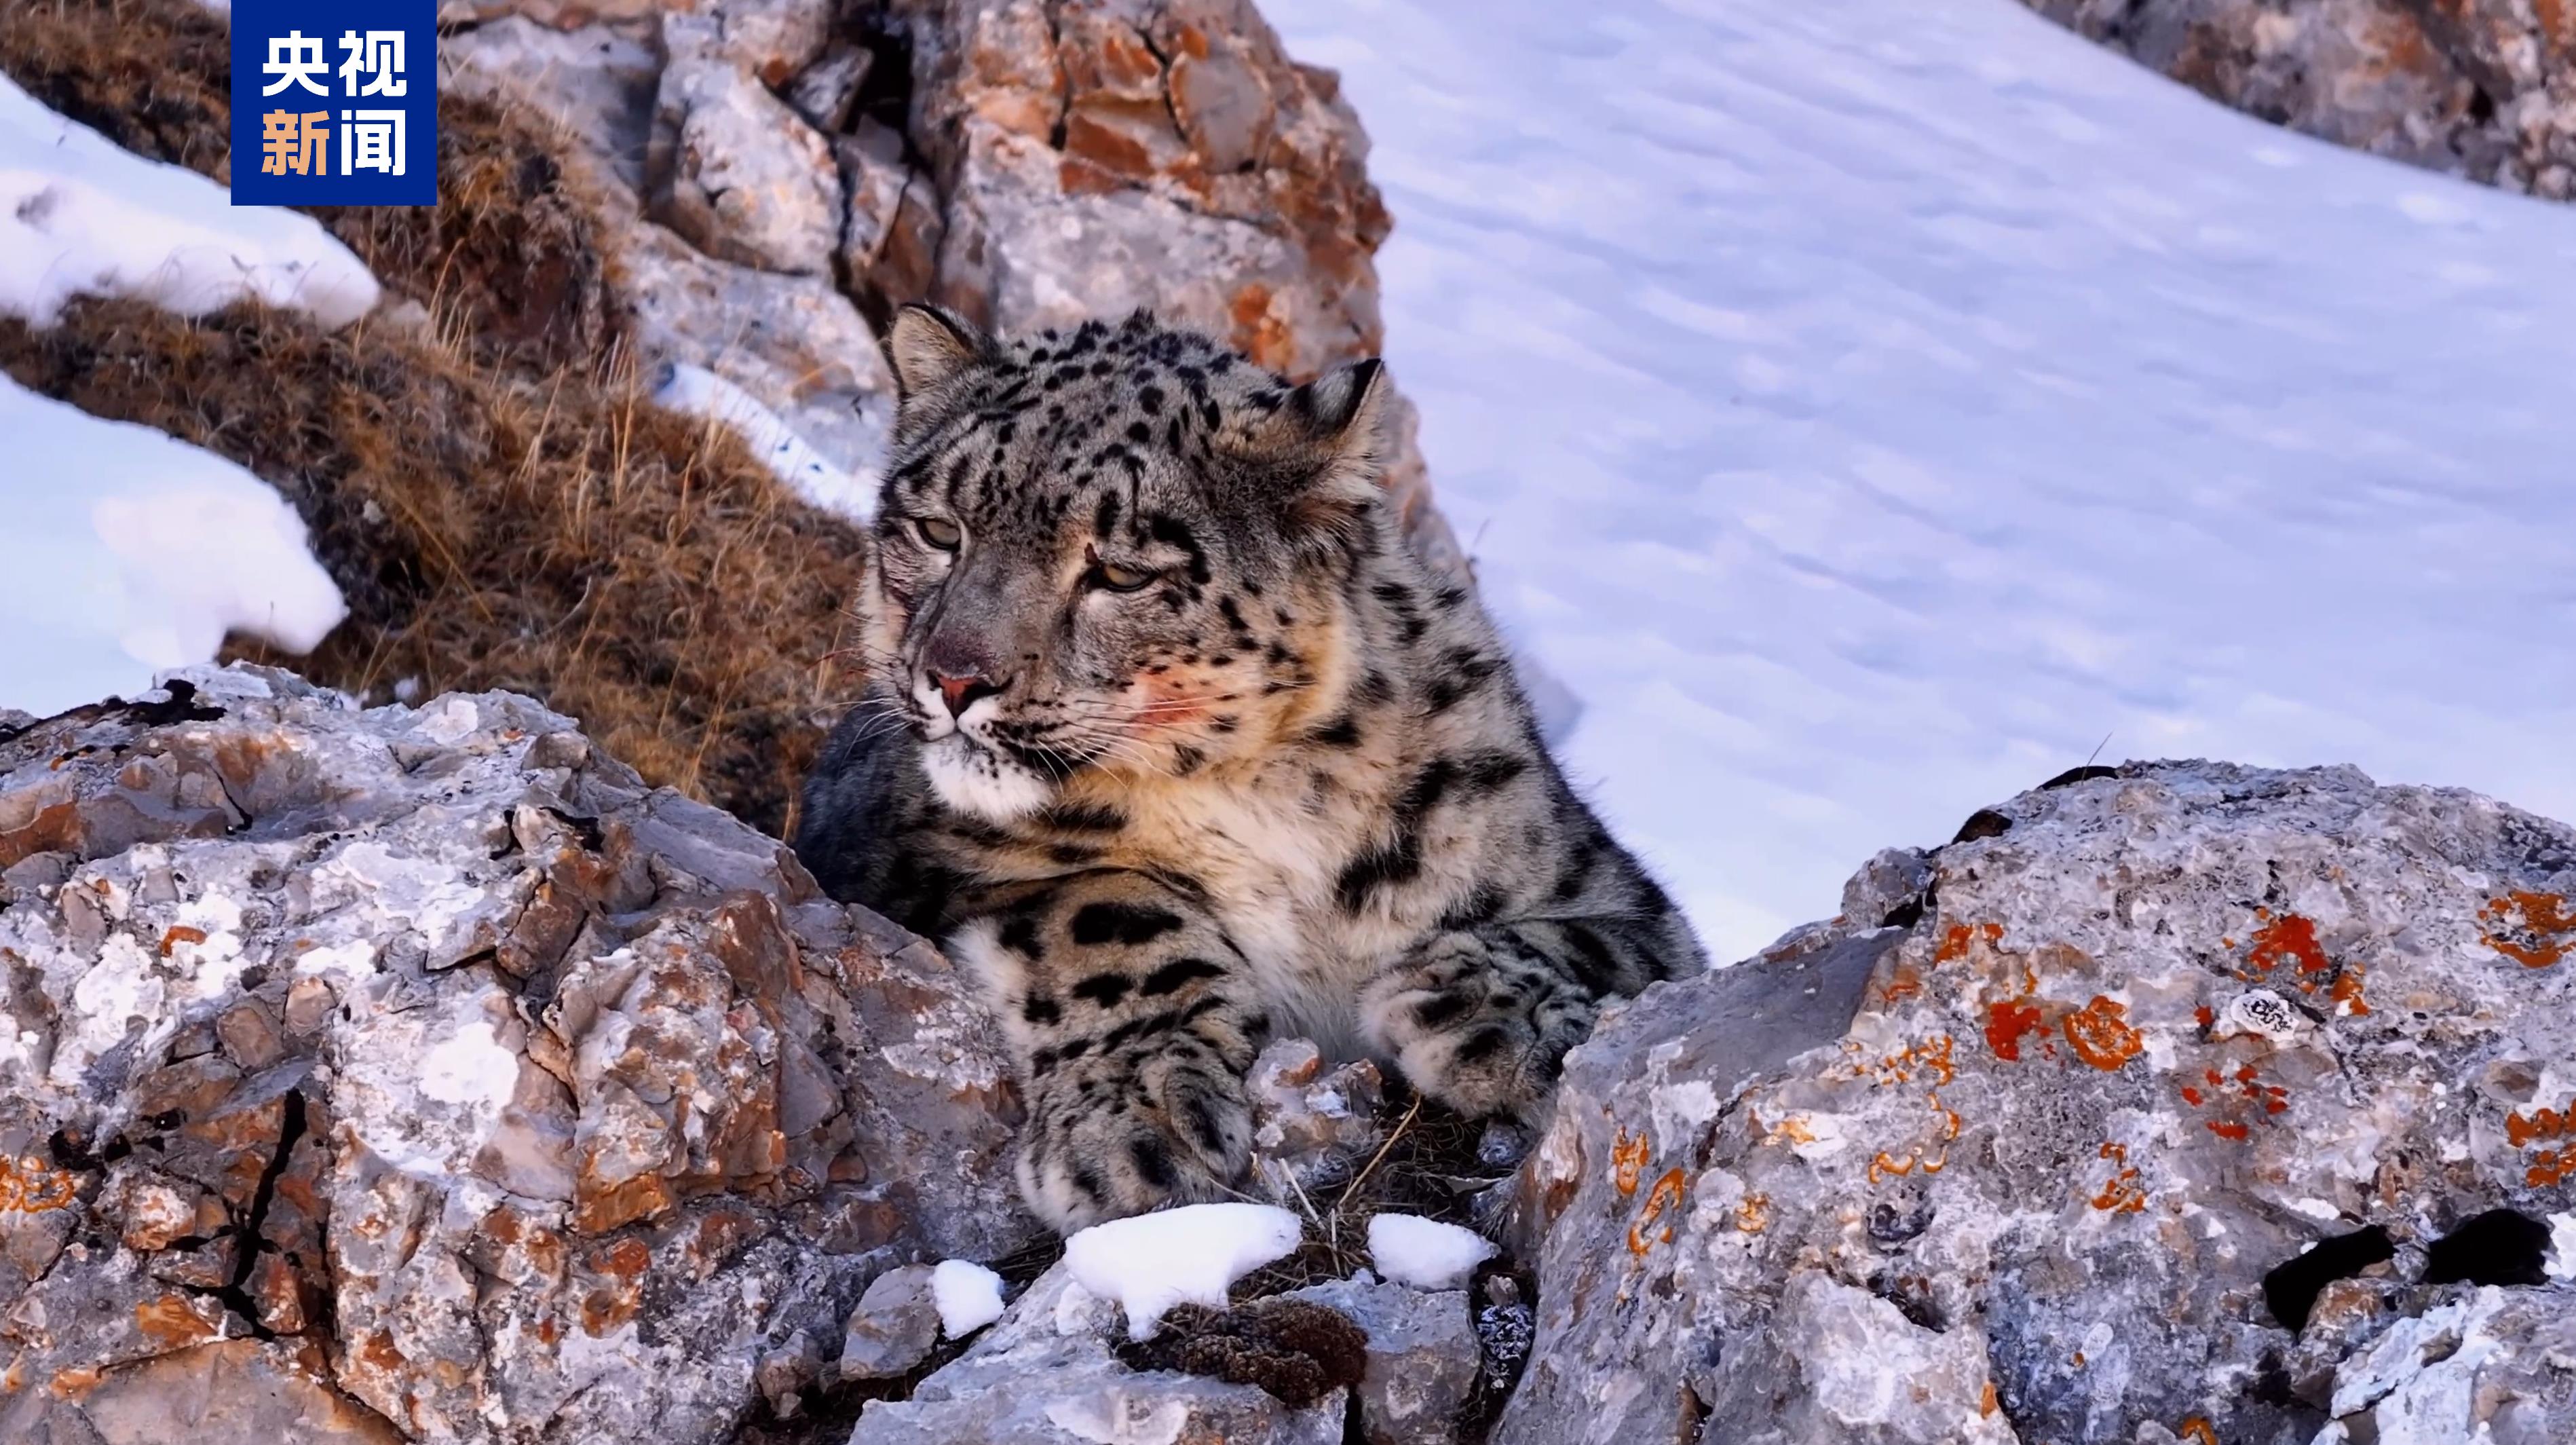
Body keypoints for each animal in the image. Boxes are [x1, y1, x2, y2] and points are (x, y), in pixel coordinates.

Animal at [793, 303, 1700, 1226]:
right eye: (940, 529)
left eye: (1120, 572)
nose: (952, 677)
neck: (1266, 803)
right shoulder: (909, 854)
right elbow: (1106, 906)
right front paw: (1140, 1123)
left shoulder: (1616, 895)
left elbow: (1591, 942)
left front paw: (1483, 1010)